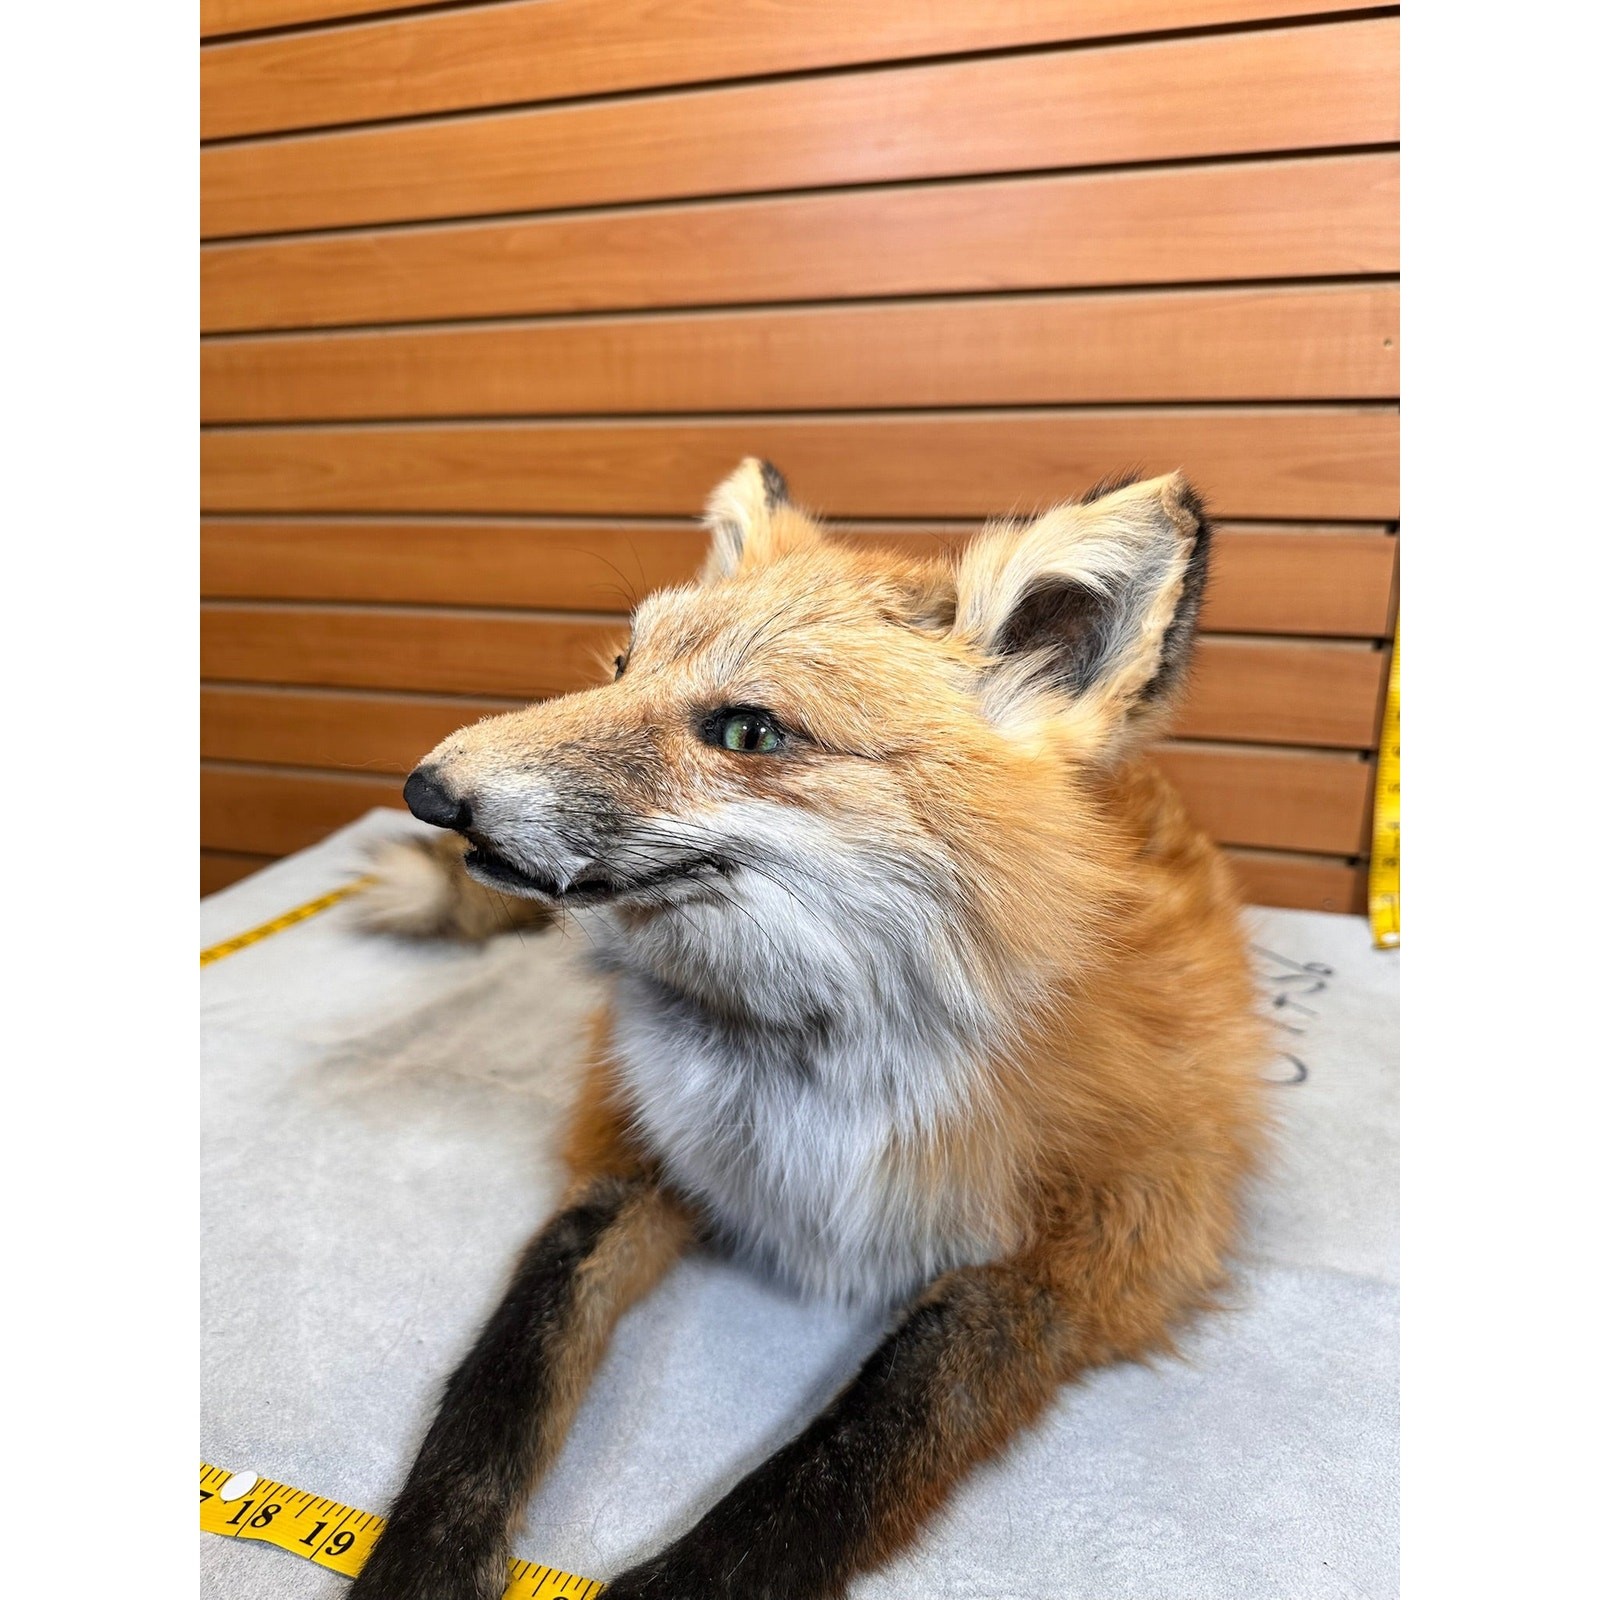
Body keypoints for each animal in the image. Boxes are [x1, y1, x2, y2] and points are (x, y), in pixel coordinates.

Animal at [345, 457, 1272, 1600]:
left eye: (748, 732)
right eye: (620, 664)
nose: (427, 790)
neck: (807, 1074)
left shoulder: (1118, 1242)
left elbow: (860, 1443)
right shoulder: (631, 1155)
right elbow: (494, 1393)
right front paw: (418, 1570)